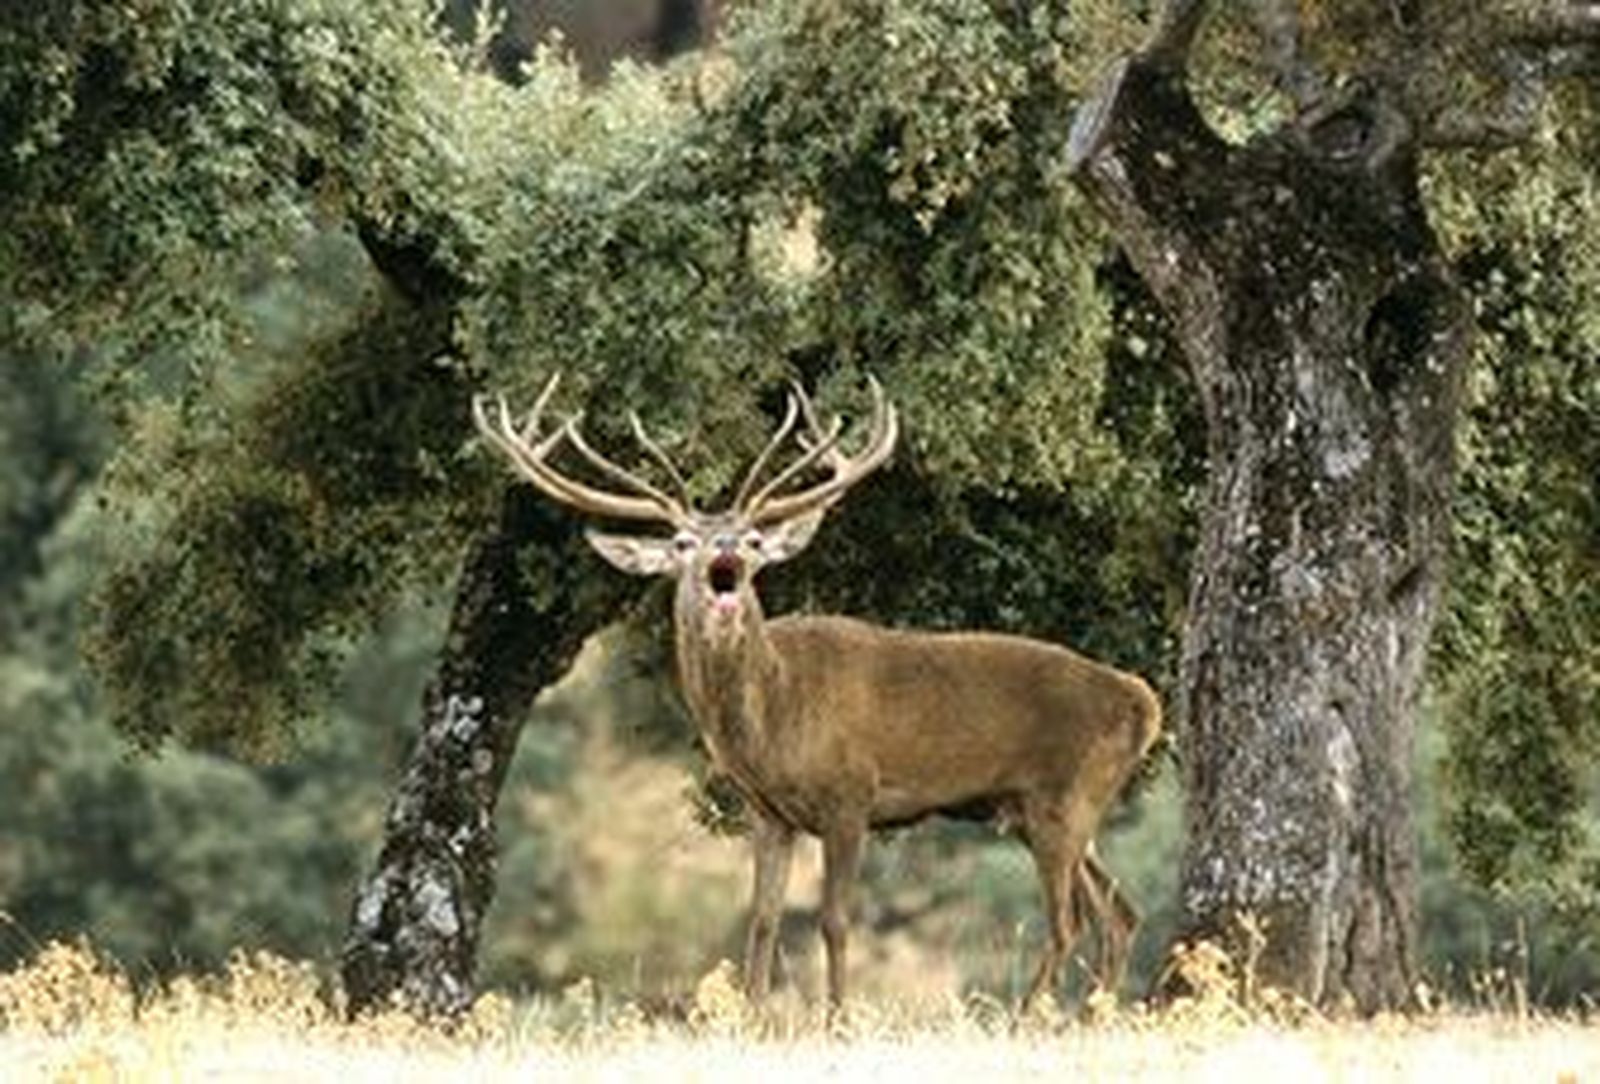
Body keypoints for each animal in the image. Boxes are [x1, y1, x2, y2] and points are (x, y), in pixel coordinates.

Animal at [472, 374, 1161, 1008]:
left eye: (754, 537)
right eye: (682, 542)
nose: (726, 550)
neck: (773, 717)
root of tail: (1143, 701)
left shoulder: (851, 794)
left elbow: (834, 920)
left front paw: (837, 1018)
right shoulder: (769, 812)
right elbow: (762, 920)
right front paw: (751, 1019)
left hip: (1065, 797)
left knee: (1069, 921)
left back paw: (1025, 1019)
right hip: (1041, 809)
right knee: (1120, 913)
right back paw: (1089, 1014)